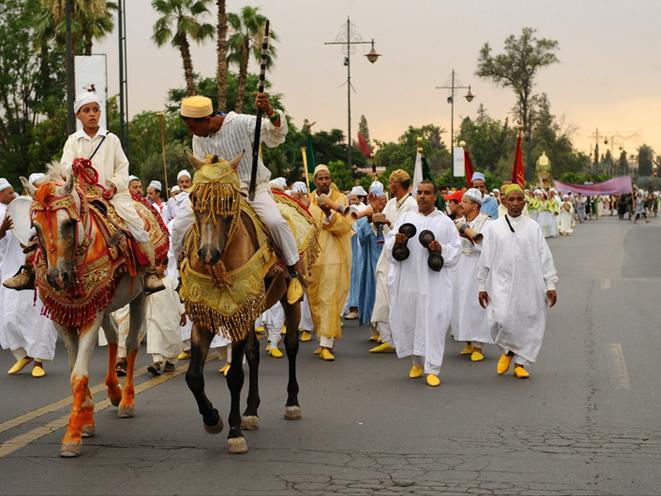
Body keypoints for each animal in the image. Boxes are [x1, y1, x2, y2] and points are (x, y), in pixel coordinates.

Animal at [179, 154, 316, 454]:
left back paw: (292, 403)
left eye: (229, 201)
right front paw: (212, 419)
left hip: (290, 299)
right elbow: (193, 376)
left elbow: (234, 377)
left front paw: (233, 432)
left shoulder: (238, 309)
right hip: (252, 310)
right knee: (253, 354)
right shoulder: (209, 314)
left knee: (291, 346)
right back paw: (251, 411)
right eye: (194, 197)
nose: (207, 253)